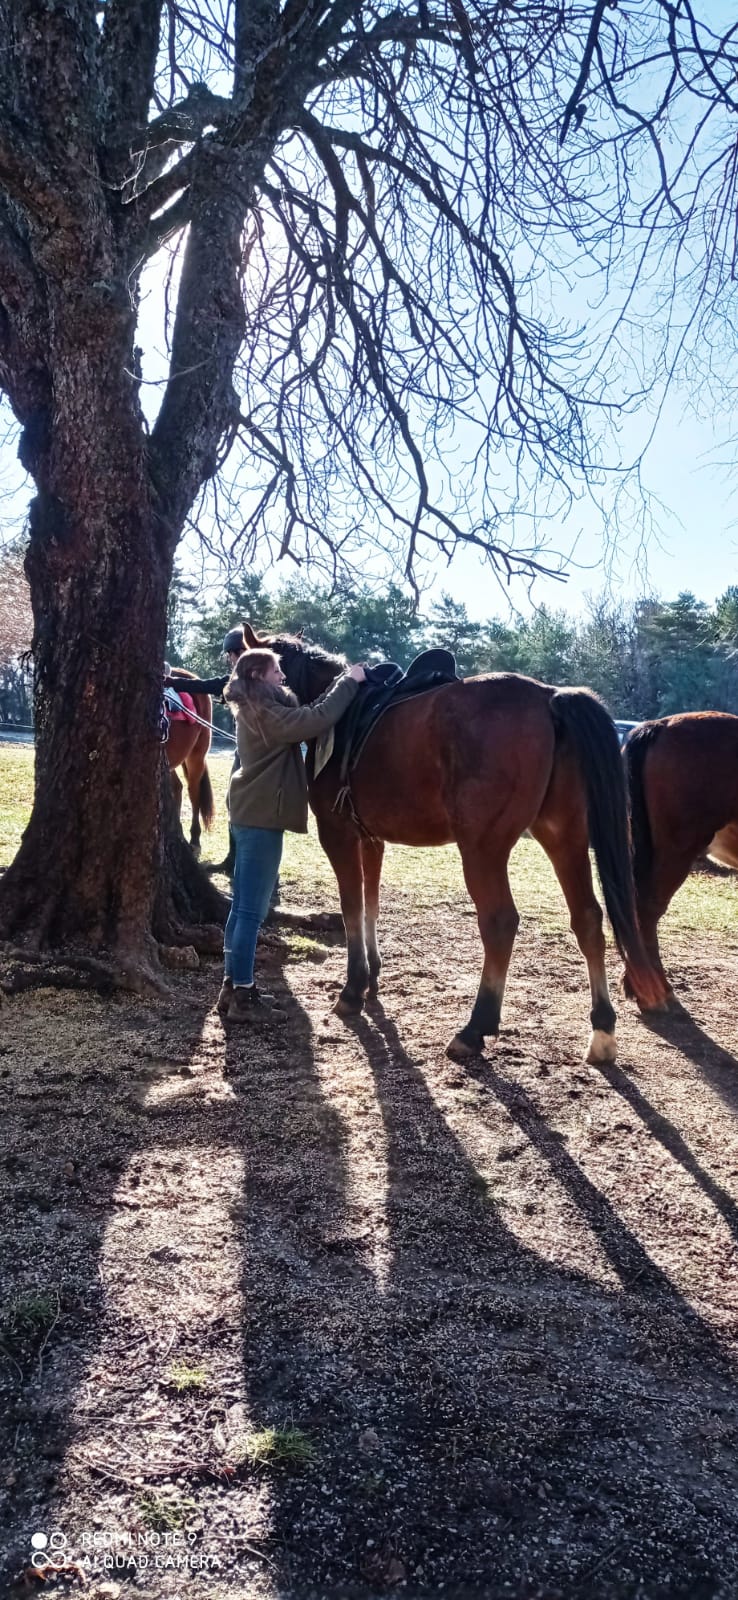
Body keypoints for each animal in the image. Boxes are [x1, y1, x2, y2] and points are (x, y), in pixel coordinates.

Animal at [241, 624, 665, 1062]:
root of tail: (549, 697)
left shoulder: (337, 833)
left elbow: (351, 907)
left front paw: (353, 989)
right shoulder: (370, 839)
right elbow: (371, 903)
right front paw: (372, 978)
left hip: (483, 848)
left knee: (500, 922)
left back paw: (476, 1027)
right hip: (563, 836)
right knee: (587, 918)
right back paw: (602, 1030)